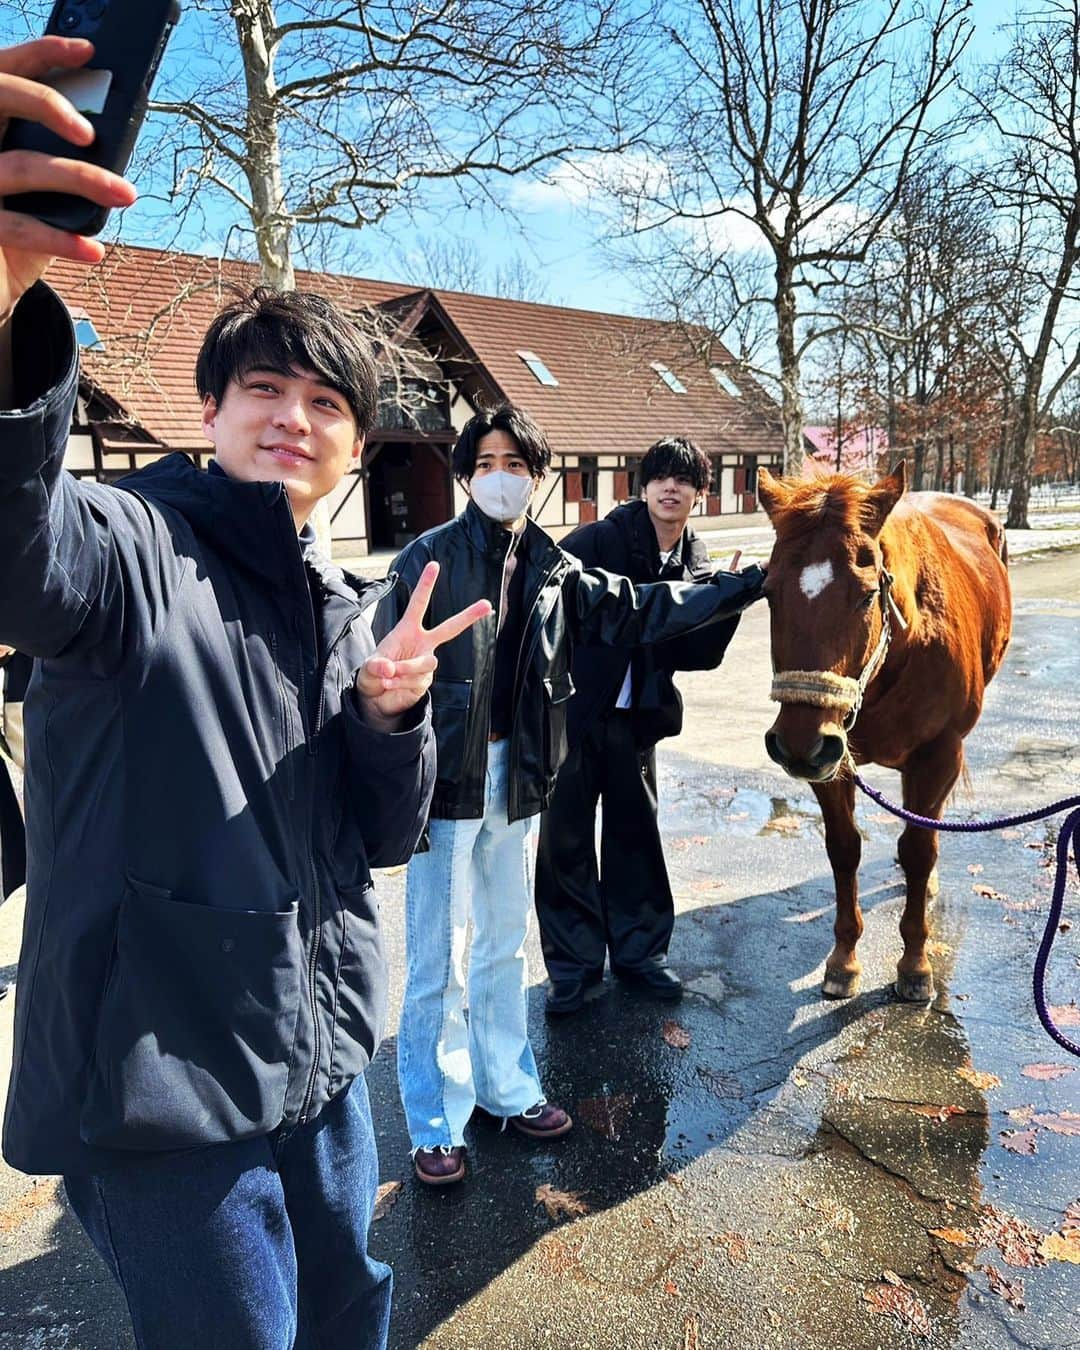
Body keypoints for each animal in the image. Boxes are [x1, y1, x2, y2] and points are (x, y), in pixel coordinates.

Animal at [761, 464, 1015, 1004]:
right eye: (769, 593)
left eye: (866, 596)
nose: (795, 744)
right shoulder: (831, 760)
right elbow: (844, 848)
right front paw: (844, 958)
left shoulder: (938, 756)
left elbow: (919, 850)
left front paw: (915, 964)